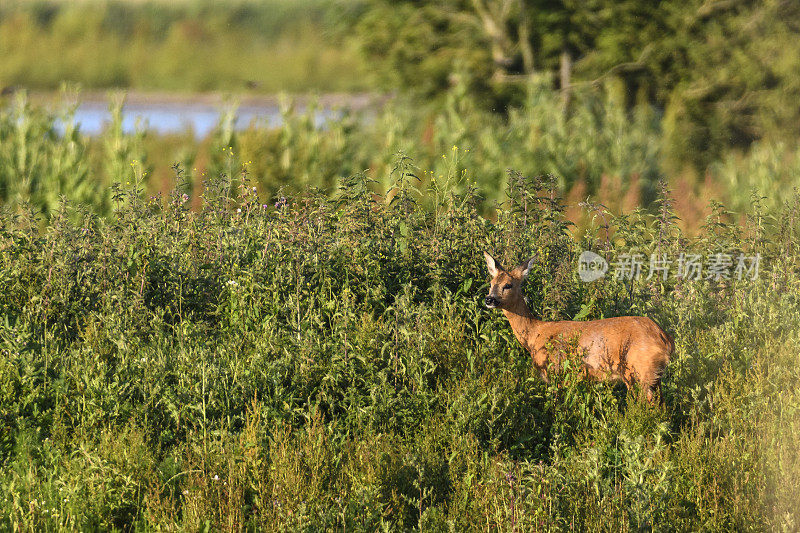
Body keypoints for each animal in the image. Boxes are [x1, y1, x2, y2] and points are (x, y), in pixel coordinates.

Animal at [484, 251, 672, 402]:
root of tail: (666, 341)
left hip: (637, 372)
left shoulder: (558, 372)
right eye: (491, 283)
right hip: (654, 377)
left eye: (508, 285)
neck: (534, 335)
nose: (489, 299)